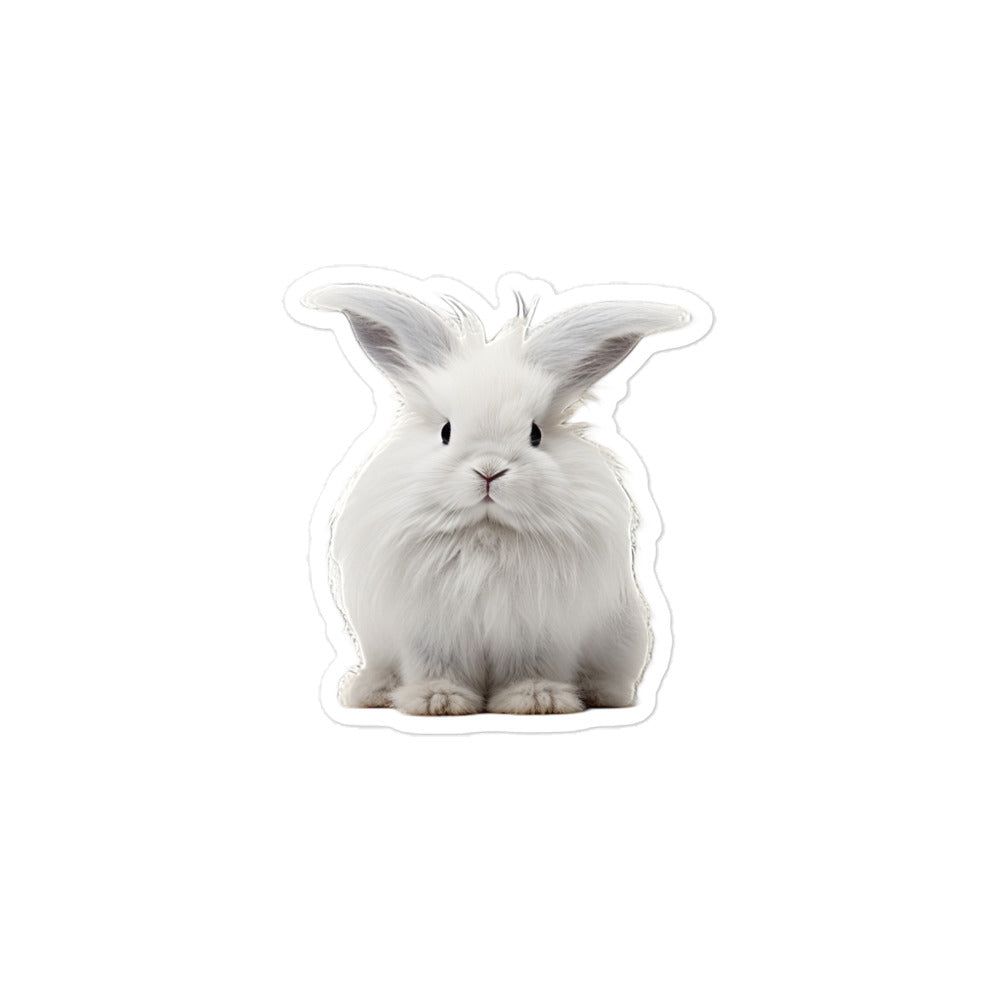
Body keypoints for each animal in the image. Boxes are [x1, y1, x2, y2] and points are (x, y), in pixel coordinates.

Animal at [301, 277, 696, 716]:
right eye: (446, 431)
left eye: (535, 433)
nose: (489, 471)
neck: (486, 532)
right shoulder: (430, 630)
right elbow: (436, 666)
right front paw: (438, 699)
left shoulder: (537, 629)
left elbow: (531, 666)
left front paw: (537, 699)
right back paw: (372, 692)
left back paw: (600, 693)